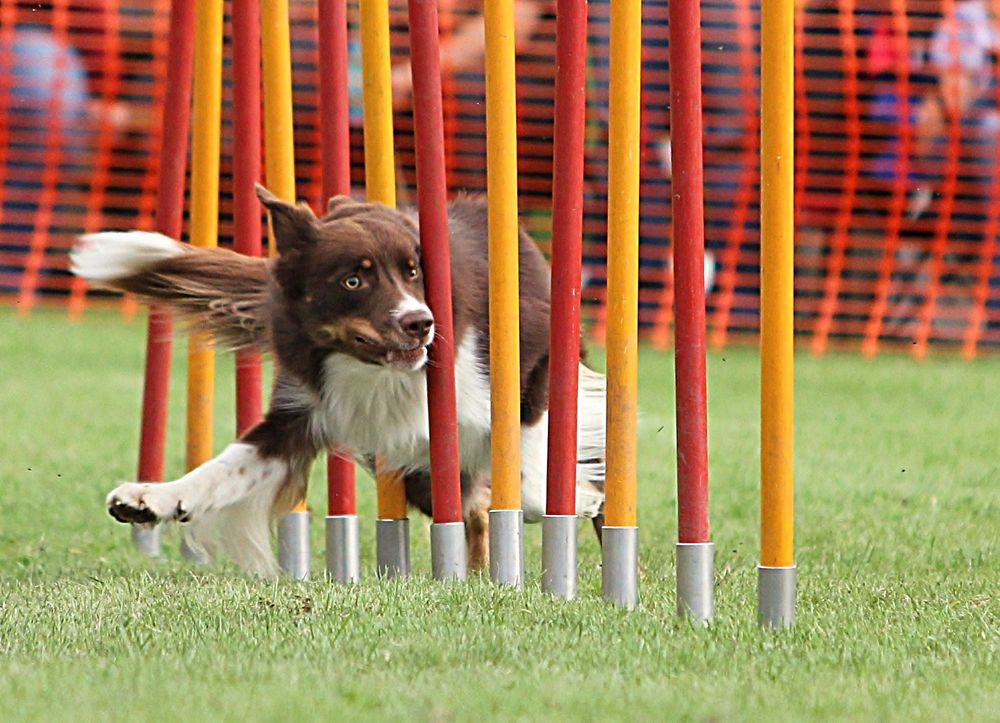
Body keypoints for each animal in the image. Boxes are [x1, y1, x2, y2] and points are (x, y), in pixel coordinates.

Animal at [70, 188, 604, 576]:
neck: (374, 369)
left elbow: (532, 473)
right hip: (422, 473)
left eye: (414, 272)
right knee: (472, 508)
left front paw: (576, 496)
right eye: (353, 280)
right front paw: (152, 498)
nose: (421, 323)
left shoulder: (535, 364)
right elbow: (222, 469)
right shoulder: (302, 413)